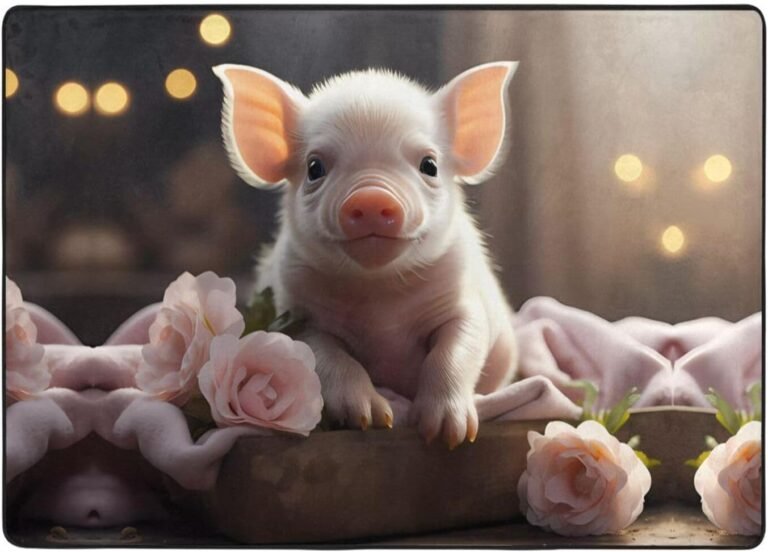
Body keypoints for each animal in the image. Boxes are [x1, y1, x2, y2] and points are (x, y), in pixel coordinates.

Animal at [213, 62, 519, 448]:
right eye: (315, 168)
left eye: (429, 165)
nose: (372, 196)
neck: (381, 298)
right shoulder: (299, 316)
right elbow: (329, 359)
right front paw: (374, 420)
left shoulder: (465, 304)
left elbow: (454, 352)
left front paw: (449, 434)